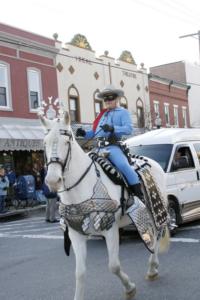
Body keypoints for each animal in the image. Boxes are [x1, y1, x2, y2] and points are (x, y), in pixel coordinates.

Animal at [39, 112, 170, 300]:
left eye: (67, 141)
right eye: (45, 143)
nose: (52, 181)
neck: (81, 187)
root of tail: (154, 162)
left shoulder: (110, 229)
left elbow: (113, 266)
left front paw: (129, 288)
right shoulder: (75, 233)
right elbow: (79, 273)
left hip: (157, 210)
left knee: (158, 235)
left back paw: (152, 268)